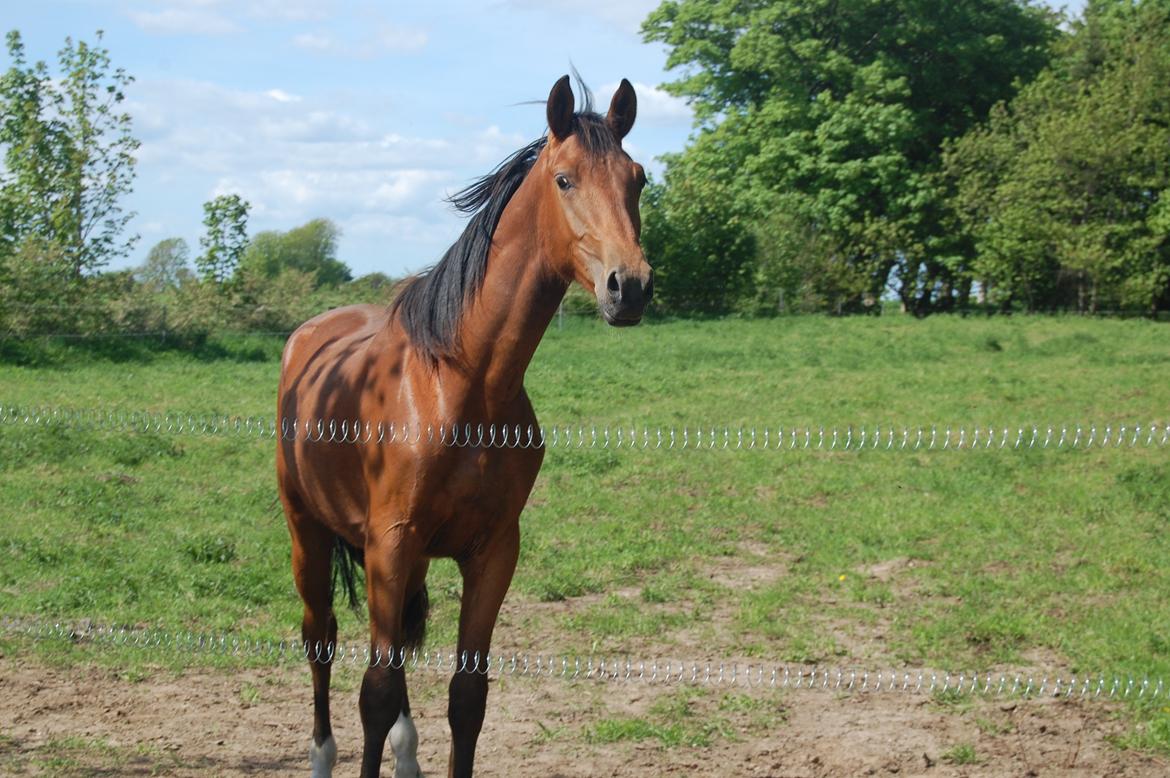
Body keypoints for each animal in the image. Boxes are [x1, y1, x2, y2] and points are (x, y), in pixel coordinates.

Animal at [277, 74, 655, 776]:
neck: (465, 386)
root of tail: (306, 338)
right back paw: (321, 754)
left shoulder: (492, 550)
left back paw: (406, 755)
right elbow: (376, 690)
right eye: (564, 179)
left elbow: (466, 696)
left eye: (637, 178)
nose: (631, 287)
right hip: (307, 533)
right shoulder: (389, 543)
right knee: (321, 638)